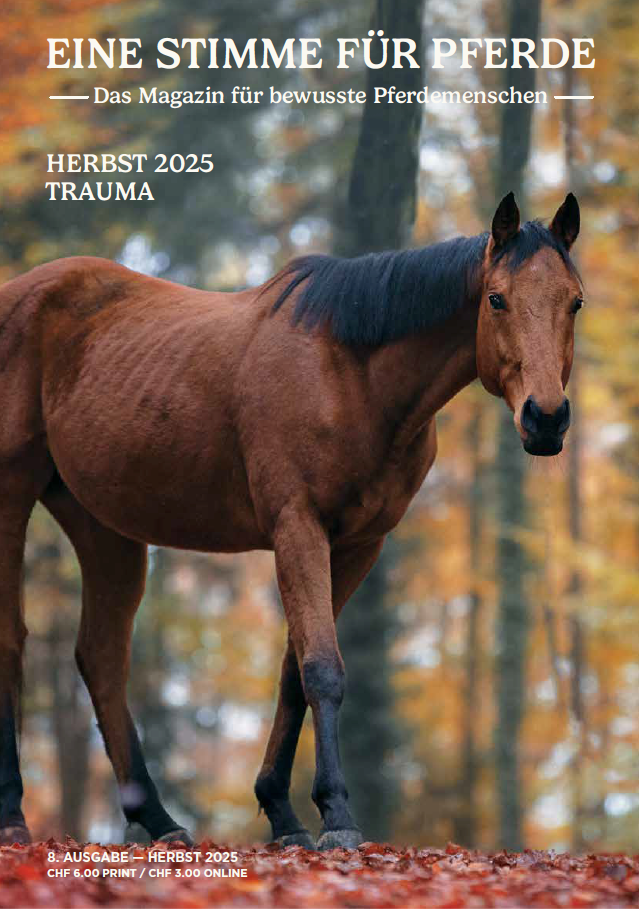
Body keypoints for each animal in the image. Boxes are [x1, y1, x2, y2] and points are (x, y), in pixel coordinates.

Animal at [0, 191, 582, 850]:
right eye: (497, 298)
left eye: (575, 301)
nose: (545, 419)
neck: (351, 374)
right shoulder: (297, 527)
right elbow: (322, 668)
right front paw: (337, 816)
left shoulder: (357, 544)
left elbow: (292, 671)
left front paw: (282, 812)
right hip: (12, 494)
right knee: (13, 639)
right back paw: (13, 813)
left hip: (105, 527)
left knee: (101, 656)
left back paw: (160, 820)